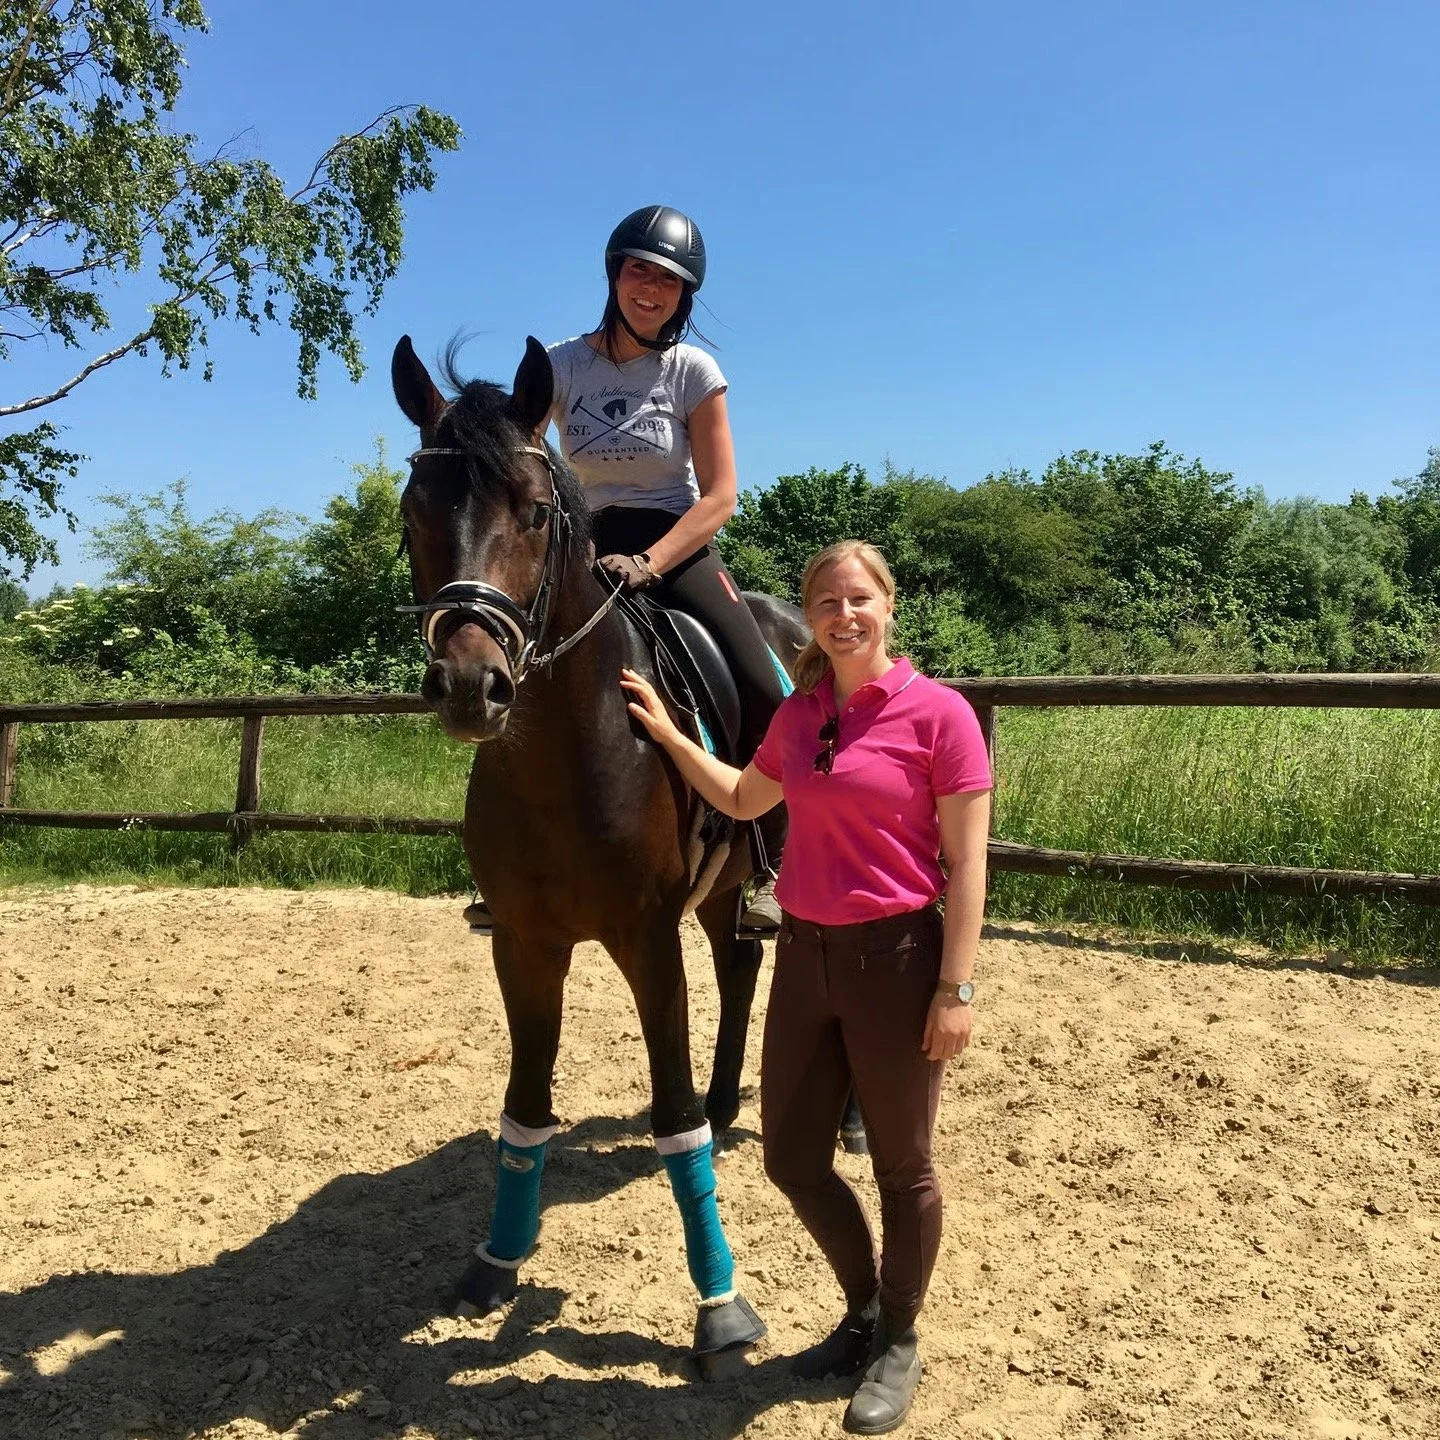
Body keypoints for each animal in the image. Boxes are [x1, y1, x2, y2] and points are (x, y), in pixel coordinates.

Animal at [391, 334, 806, 1371]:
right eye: (414, 513)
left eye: (537, 513)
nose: (471, 686)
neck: (566, 755)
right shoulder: (525, 944)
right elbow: (525, 1108)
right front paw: (494, 1264)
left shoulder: (644, 938)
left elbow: (671, 1122)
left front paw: (721, 1307)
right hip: (720, 889)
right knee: (738, 964)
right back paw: (730, 1098)